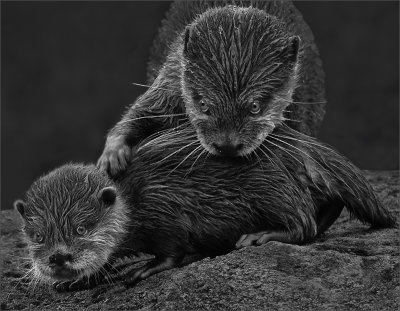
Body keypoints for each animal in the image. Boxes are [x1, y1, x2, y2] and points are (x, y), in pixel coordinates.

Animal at [14, 125, 394, 292]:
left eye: (81, 228)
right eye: (38, 236)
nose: (58, 258)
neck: (133, 201)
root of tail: (300, 144)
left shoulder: (164, 206)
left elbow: (171, 250)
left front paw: (141, 268)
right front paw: (77, 279)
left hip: (272, 186)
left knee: (303, 226)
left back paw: (256, 238)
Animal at [97, 1, 324, 178]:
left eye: (255, 106)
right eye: (203, 104)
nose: (227, 145)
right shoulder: (171, 80)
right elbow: (141, 112)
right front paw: (113, 153)